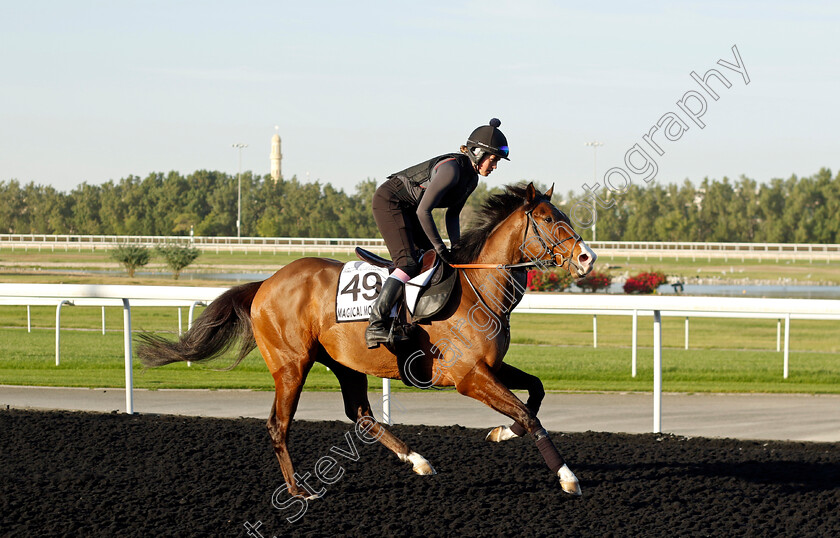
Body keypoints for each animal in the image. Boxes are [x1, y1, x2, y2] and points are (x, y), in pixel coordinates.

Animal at [138, 182, 596, 496]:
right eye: (550, 219)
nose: (587, 257)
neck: (477, 287)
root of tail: (265, 283)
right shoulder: (468, 377)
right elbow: (528, 414)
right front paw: (568, 476)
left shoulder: (490, 367)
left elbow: (534, 395)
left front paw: (501, 433)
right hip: (291, 365)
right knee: (278, 424)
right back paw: (297, 490)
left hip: (344, 363)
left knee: (359, 414)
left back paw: (417, 460)